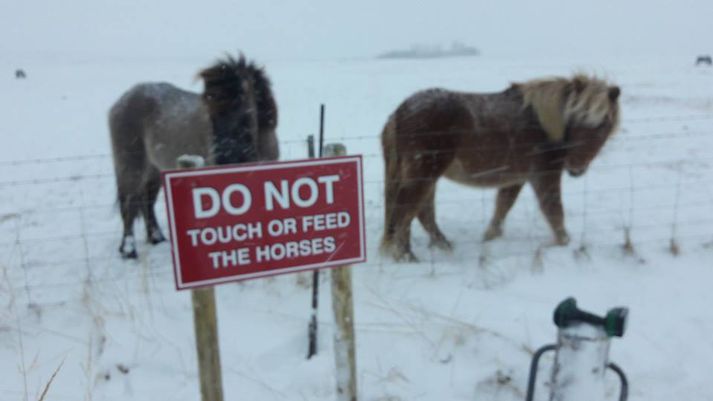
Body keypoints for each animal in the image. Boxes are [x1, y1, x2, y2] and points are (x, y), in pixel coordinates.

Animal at [108, 54, 278, 258]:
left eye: (241, 106)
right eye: (210, 114)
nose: (223, 159)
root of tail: (122, 100)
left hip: (154, 170)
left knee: (147, 202)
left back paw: (156, 238)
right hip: (131, 168)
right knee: (129, 204)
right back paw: (128, 250)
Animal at [382, 73, 620, 260]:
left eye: (604, 125)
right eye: (575, 117)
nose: (575, 168)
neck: (545, 125)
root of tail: (400, 112)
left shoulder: (516, 178)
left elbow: (503, 206)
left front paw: (489, 238)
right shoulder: (545, 176)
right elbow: (554, 211)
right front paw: (562, 244)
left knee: (421, 212)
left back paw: (441, 247)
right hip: (424, 173)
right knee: (406, 210)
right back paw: (406, 256)